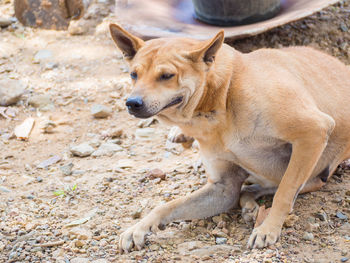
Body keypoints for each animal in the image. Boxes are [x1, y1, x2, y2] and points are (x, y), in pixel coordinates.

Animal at [109, 23, 350, 254]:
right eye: (133, 75)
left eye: (167, 75)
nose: (132, 103)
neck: (222, 98)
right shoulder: (223, 188)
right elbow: (167, 205)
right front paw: (138, 228)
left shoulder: (314, 131)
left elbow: (283, 193)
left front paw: (268, 229)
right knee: (248, 190)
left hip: (312, 174)